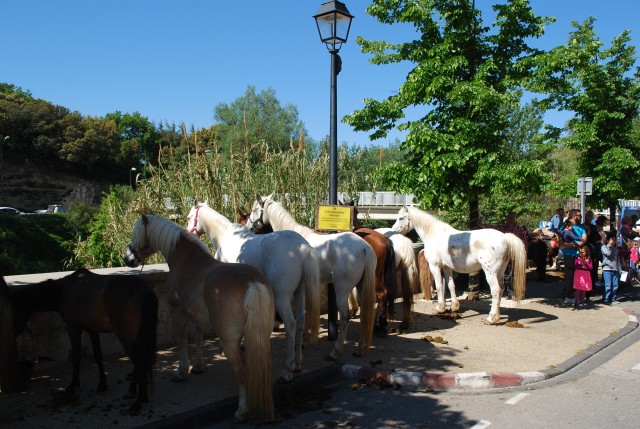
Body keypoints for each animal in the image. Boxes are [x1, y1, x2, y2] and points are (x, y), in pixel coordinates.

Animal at [1, 268, 159, 414]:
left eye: (13, 311)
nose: (11, 332)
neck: (65, 289)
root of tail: (145, 291)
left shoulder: (73, 328)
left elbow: (76, 357)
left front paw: (73, 385)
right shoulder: (92, 330)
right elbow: (98, 356)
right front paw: (102, 384)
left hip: (126, 337)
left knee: (139, 362)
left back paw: (139, 400)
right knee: (141, 362)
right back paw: (133, 392)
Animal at [124, 212, 276, 420]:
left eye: (137, 234)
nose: (127, 258)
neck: (186, 260)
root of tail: (253, 283)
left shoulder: (178, 311)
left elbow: (181, 341)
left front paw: (181, 372)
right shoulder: (197, 315)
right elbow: (198, 336)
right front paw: (198, 366)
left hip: (229, 342)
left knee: (242, 370)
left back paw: (241, 410)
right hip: (260, 337)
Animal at [188, 199, 322, 380]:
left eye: (189, 217)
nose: (189, 233)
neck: (224, 235)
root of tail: (302, 248)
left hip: (282, 297)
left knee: (291, 324)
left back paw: (288, 368)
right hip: (299, 293)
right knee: (300, 321)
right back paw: (298, 362)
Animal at [244, 192, 376, 360]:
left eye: (255, 209)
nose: (249, 227)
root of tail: (364, 246)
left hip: (342, 290)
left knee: (345, 317)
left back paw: (335, 352)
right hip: (360, 286)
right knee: (366, 312)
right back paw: (359, 349)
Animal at [390, 206, 524, 322]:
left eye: (401, 218)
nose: (393, 231)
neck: (434, 234)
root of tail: (505, 237)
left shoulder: (434, 266)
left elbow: (439, 286)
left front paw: (440, 308)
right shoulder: (447, 268)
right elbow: (451, 286)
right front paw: (454, 307)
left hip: (490, 272)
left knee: (495, 290)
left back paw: (491, 318)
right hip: (500, 271)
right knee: (501, 289)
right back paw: (497, 315)